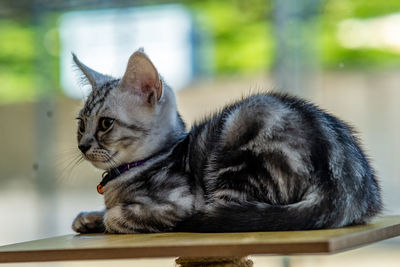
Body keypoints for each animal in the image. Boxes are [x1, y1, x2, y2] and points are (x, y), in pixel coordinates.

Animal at [71, 49, 382, 233]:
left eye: (106, 123)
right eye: (81, 124)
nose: (82, 145)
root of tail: (346, 186)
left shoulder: (179, 201)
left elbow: (117, 216)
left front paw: (106, 218)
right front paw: (88, 217)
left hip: (241, 141)